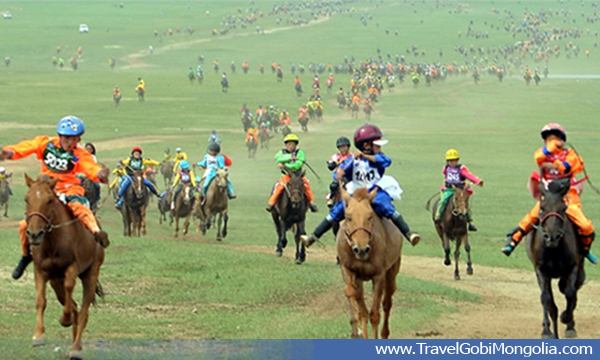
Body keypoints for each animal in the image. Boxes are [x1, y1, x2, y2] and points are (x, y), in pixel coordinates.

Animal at [23, 174, 106, 360]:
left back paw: (75, 347)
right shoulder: (40, 270)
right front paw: (38, 336)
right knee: (74, 306)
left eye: (49, 200)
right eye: (26, 199)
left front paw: (65, 319)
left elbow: (69, 288)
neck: (53, 242)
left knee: (83, 312)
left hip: (91, 274)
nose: (34, 234)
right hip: (55, 281)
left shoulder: (72, 268)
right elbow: (41, 301)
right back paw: (75, 346)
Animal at [338, 187, 404, 338]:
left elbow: (375, 315)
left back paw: (384, 333)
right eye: (349, 217)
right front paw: (356, 330)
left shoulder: (378, 276)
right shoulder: (349, 270)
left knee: (387, 303)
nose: (361, 249)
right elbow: (361, 310)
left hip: (392, 272)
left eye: (370, 216)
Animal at [528, 177, 584, 338]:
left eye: (563, 209)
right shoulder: (541, 270)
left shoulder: (572, 267)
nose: (552, 237)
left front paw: (567, 319)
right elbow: (546, 298)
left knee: (572, 291)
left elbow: (570, 293)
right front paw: (547, 330)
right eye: (542, 208)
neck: (554, 250)